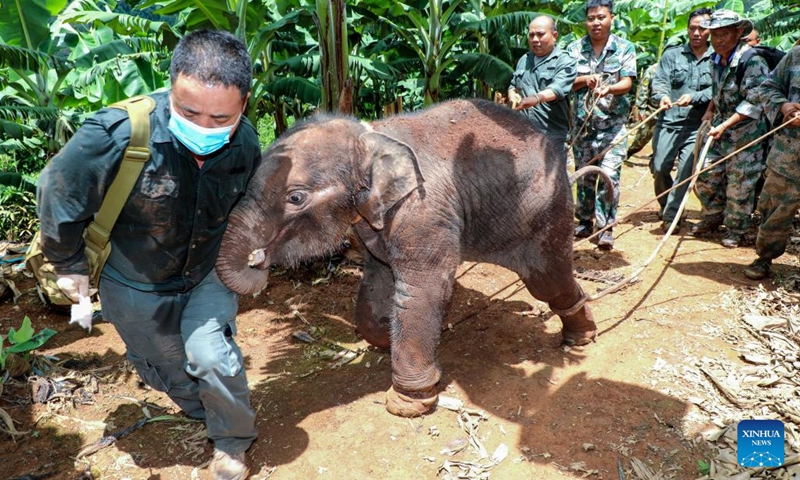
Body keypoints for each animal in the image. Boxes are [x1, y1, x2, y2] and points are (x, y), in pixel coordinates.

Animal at [216, 98, 597, 418]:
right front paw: (387, 338)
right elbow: (378, 280)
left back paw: (581, 337)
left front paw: (408, 402)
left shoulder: (423, 211)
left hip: (544, 207)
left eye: (295, 198)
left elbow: (421, 290)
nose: (257, 260)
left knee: (546, 280)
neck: (371, 137)